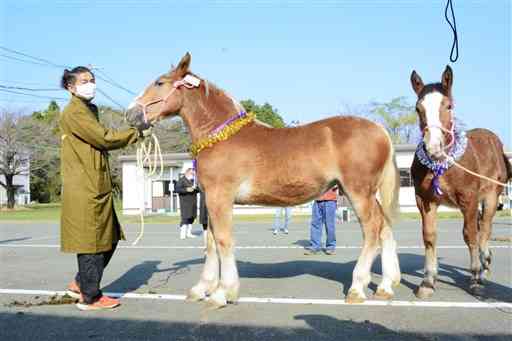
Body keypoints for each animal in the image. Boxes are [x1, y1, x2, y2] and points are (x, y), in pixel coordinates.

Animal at [126, 53, 402, 308]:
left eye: (160, 83)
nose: (131, 114)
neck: (221, 136)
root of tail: (381, 130)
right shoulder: (210, 200)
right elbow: (211, 242)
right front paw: (202, 288)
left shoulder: (220, 198)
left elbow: (223, 240)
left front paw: (222, 292)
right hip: (368, 193)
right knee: (385, 227)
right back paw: (386, 286)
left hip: (358, 192)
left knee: (372, 229)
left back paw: (357, 288)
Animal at [410, 65, 512, 298]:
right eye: (418, 108)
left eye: (448, 106)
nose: (433, 148)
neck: (443, 163)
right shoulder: (425, 201)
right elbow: (429, 236)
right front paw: (428, 282)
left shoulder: (469, 199)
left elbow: (470, 235)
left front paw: (475, 277)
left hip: (491, 197)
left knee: (485, 229)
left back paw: (483, 266)